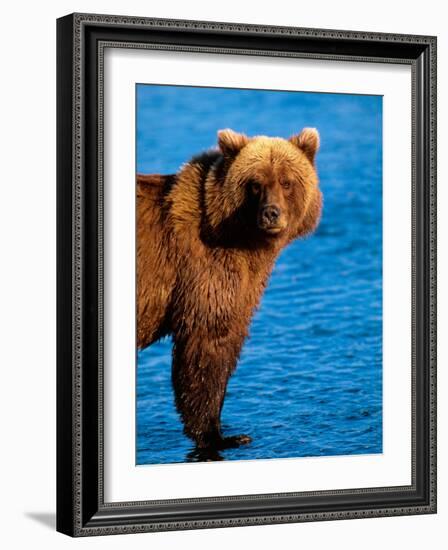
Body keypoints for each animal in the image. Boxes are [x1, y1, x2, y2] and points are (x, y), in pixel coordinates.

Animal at [136, 128, 322, 452]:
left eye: (286, 181)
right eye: (256, 184)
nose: (271, 213)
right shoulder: (203, 271)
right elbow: (207, 346)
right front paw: (221, 435)